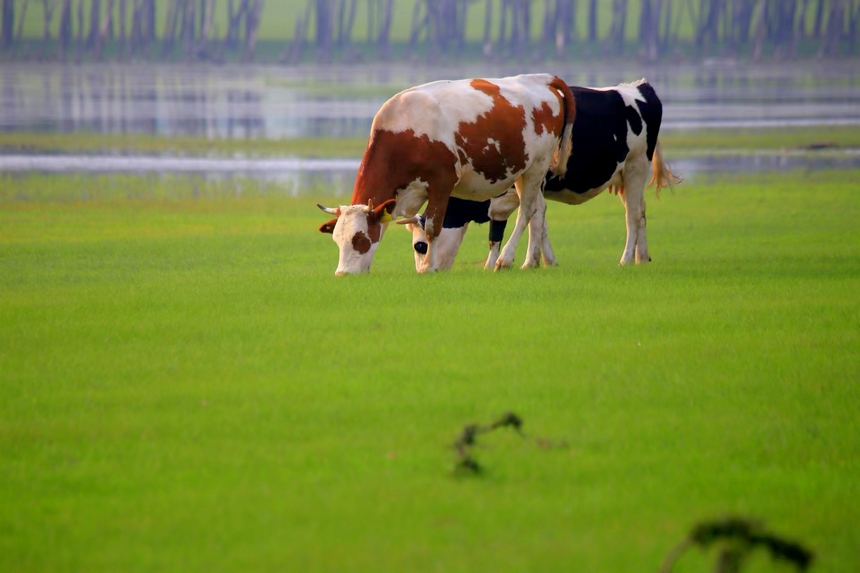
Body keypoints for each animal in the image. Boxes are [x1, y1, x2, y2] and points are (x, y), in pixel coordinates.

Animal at [320, 73, 576, 274]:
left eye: (360, 239)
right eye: (336, 240)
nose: (343, 273)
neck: (405, 130)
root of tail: (540, 78)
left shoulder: (442, 183)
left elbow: (433, 227)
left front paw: (428, 267)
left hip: (537, 166)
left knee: (526, 211)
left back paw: (506, 259)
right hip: (524, 173)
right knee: (538, 211)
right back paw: (534, 261)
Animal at [400, 76, 680, 270]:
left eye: (419, 246)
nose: (423, 271)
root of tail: (638, 87)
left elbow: (534, 217)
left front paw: (525, 262)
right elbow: (527, 225)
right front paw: (545, 261)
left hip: (636, 167)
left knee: (632, 214)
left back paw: (626, 259)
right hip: (622, 177)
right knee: (641, 210)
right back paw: (642, 257)